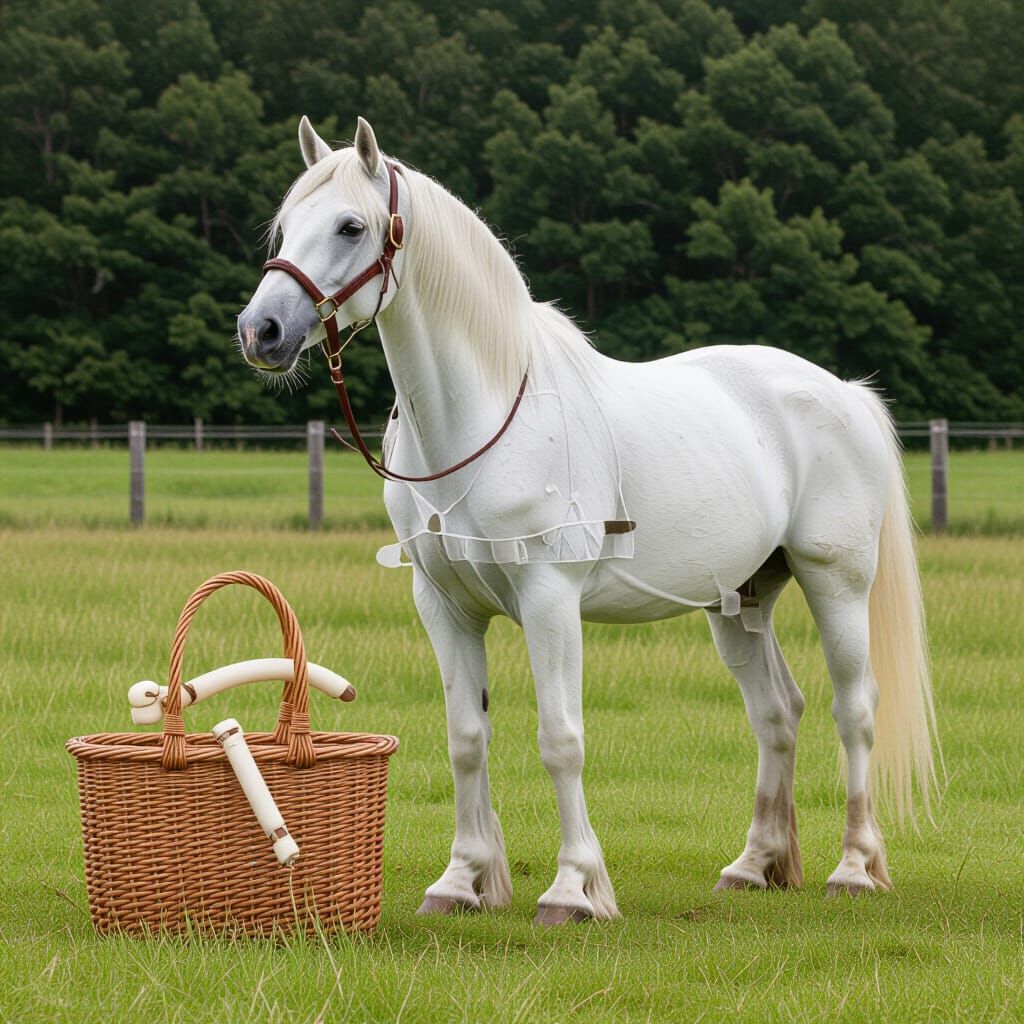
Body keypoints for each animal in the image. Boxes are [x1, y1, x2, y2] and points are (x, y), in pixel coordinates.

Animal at [237, 116, 938, 925]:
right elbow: (466, 739)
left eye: (351, 226)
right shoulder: (444, 606)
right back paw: (755, 865)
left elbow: (560, 738)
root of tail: (844, 391)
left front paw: (574, 888)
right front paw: (461, 881)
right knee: (776, 713)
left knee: (854, 710)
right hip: (740, 600)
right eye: (285, 224)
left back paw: (854, 868)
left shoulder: (550, 597)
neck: (481, 423)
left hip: (836, 584)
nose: (261, 331)